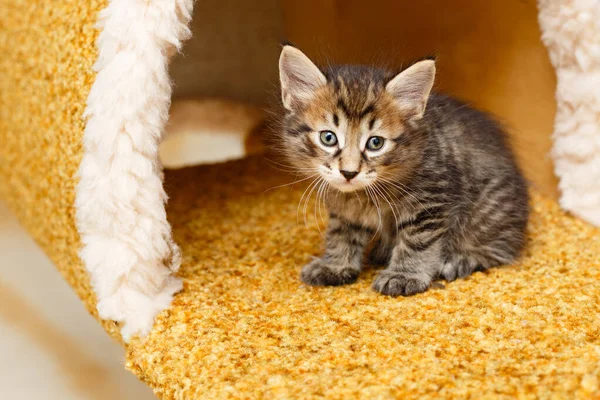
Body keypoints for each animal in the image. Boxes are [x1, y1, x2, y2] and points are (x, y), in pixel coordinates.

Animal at [276, 46, 528, 296]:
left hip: (488, 215)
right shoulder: (346, 211)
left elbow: (417, 241)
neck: (363, 194)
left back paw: (462, 259)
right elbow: (341, 234)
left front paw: (404, 275)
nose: (349, 172)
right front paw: (335, 265)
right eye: (328, 138)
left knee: (501, 248)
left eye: (375, 143)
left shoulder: (431, 201)